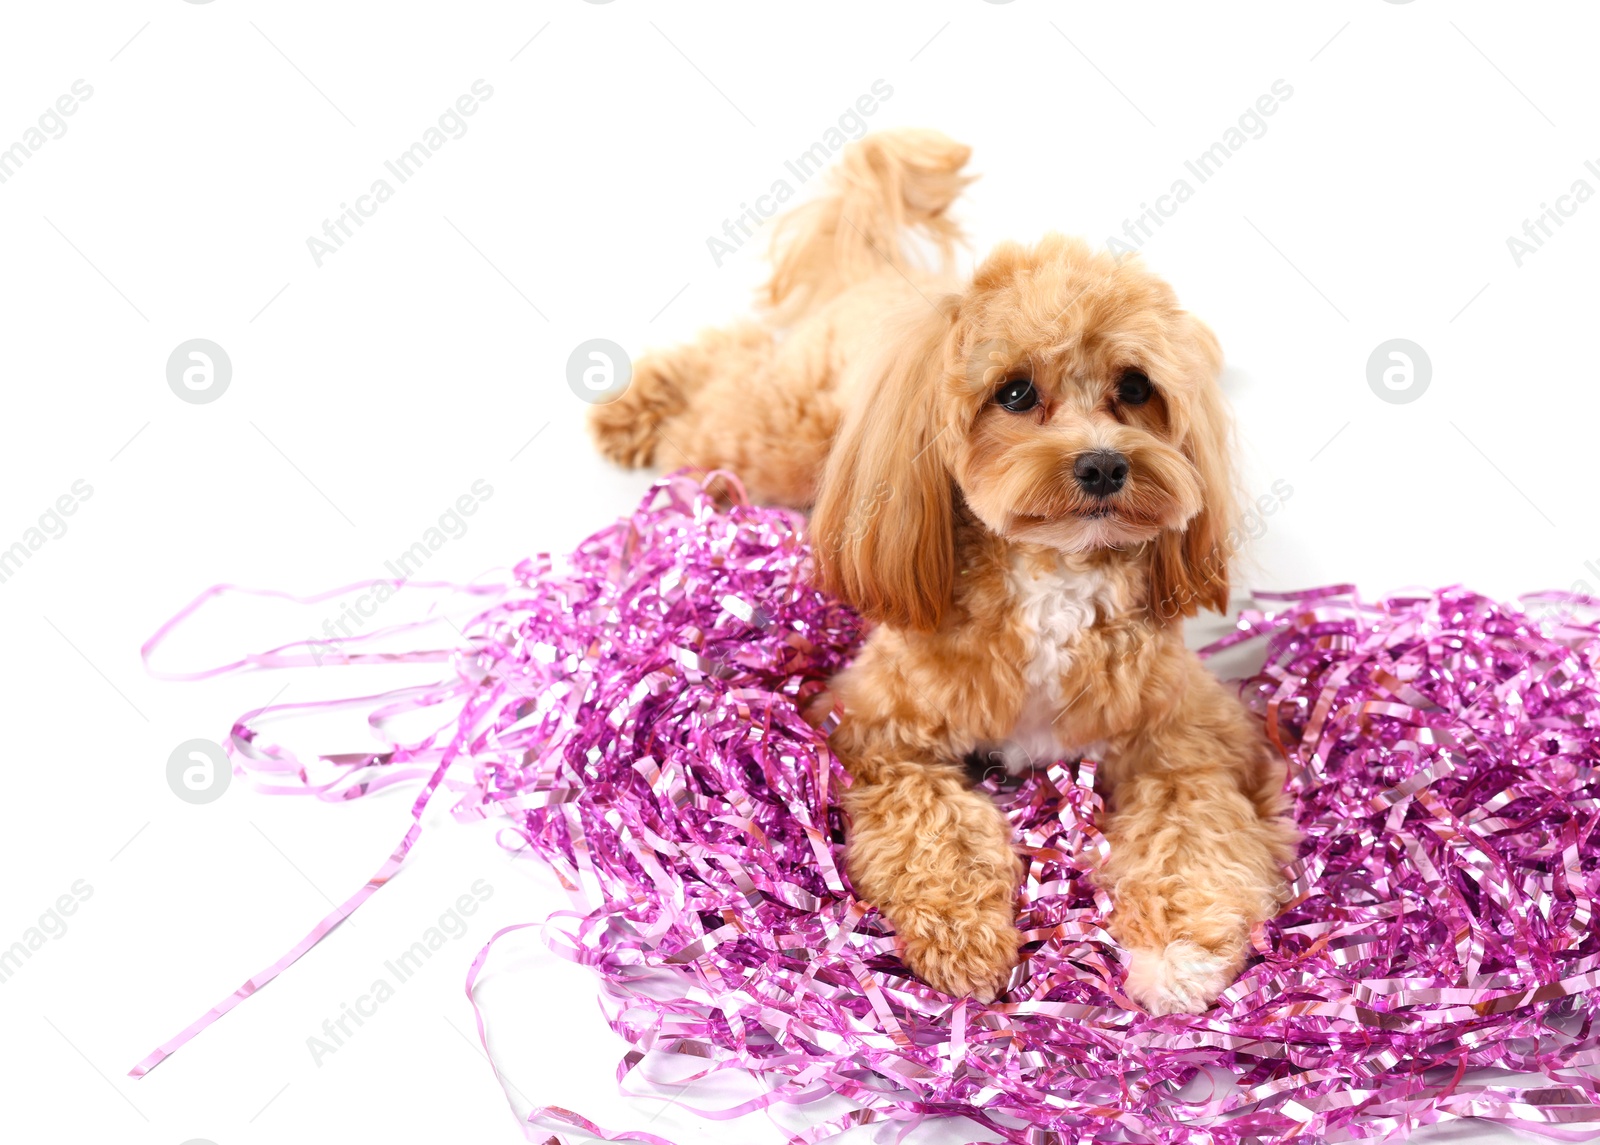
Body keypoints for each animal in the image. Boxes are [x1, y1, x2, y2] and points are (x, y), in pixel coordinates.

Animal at [588, 129, 1299, 1017]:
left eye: (1136, 387)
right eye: (1015, 392)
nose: (1104, 464)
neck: (1052, 573)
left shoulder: (1190, 735)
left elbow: (1194, 829)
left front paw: (1180, 951)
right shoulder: (874, 730)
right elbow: (934, 822)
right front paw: (963, 935)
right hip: (773, 442)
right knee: (727, 369)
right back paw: (634, 405)